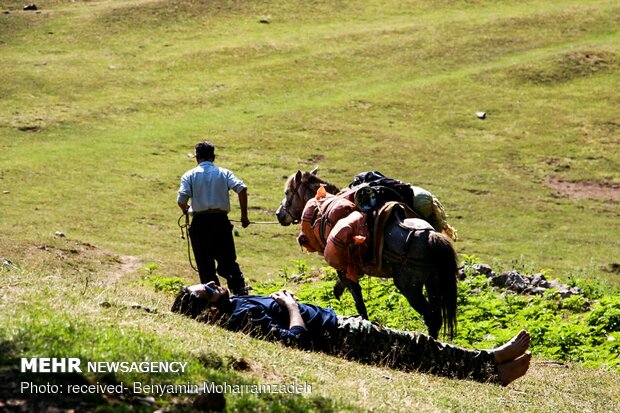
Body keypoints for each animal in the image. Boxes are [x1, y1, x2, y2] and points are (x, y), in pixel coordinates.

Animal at [274, 167, 458, 338]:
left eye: (287, 192)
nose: (278, 214)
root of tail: (431, 235)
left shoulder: (344, 269)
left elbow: (358, 300)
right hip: (432, 283)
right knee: (436, 316)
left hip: (409, 287)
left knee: (431, 317)